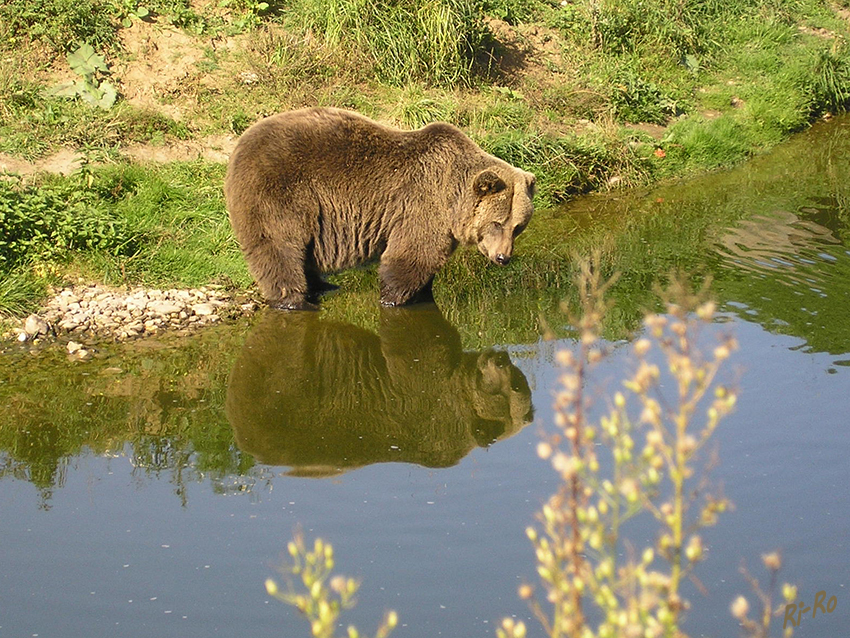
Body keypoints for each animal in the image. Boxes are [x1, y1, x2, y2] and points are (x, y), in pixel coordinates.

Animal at [222, 107, 532, 310]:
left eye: (517, 226)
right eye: (496, 222)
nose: (503, 257)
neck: (452, 200)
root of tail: (240, 144)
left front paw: (422, 293)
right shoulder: (421, 204)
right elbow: (410, 256)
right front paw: (393, 298)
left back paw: (323, 286)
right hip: (280, 192)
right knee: (280, 247)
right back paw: (294, 300)